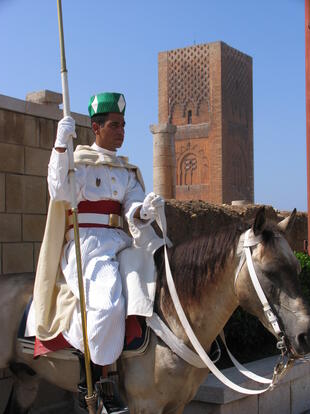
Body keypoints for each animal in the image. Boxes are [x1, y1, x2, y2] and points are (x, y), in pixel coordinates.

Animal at [0, 207, 310, 414]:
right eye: (269, 272)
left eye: (298, 268)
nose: (305, 336)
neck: (174, 318)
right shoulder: (145, 405)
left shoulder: (177, 404)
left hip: (26, 379)